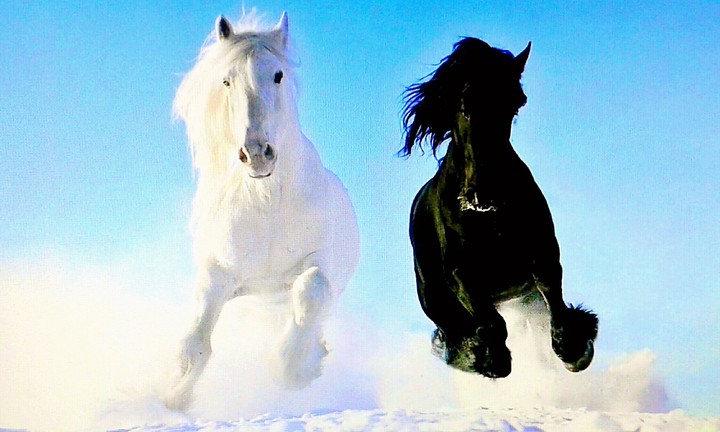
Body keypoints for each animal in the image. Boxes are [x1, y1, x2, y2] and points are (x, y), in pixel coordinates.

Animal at [164, 12, 359, 410]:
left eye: (278, 75)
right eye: (227, 79)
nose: (257, 153)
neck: (266, 203)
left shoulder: (322, 262)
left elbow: (311, 290)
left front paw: (294, 370)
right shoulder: (217, 274)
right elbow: (195, 344)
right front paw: (174, 398)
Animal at [401, 38, 598, 378]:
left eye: (516, 103)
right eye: (462, 104)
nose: (484, 194)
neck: (489, 221)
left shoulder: (542, 253)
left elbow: (554, 299)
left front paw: (574, 349)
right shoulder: (461, 274)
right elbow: (491, 323)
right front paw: (490, 359)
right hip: (433, 296)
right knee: (454, 328)